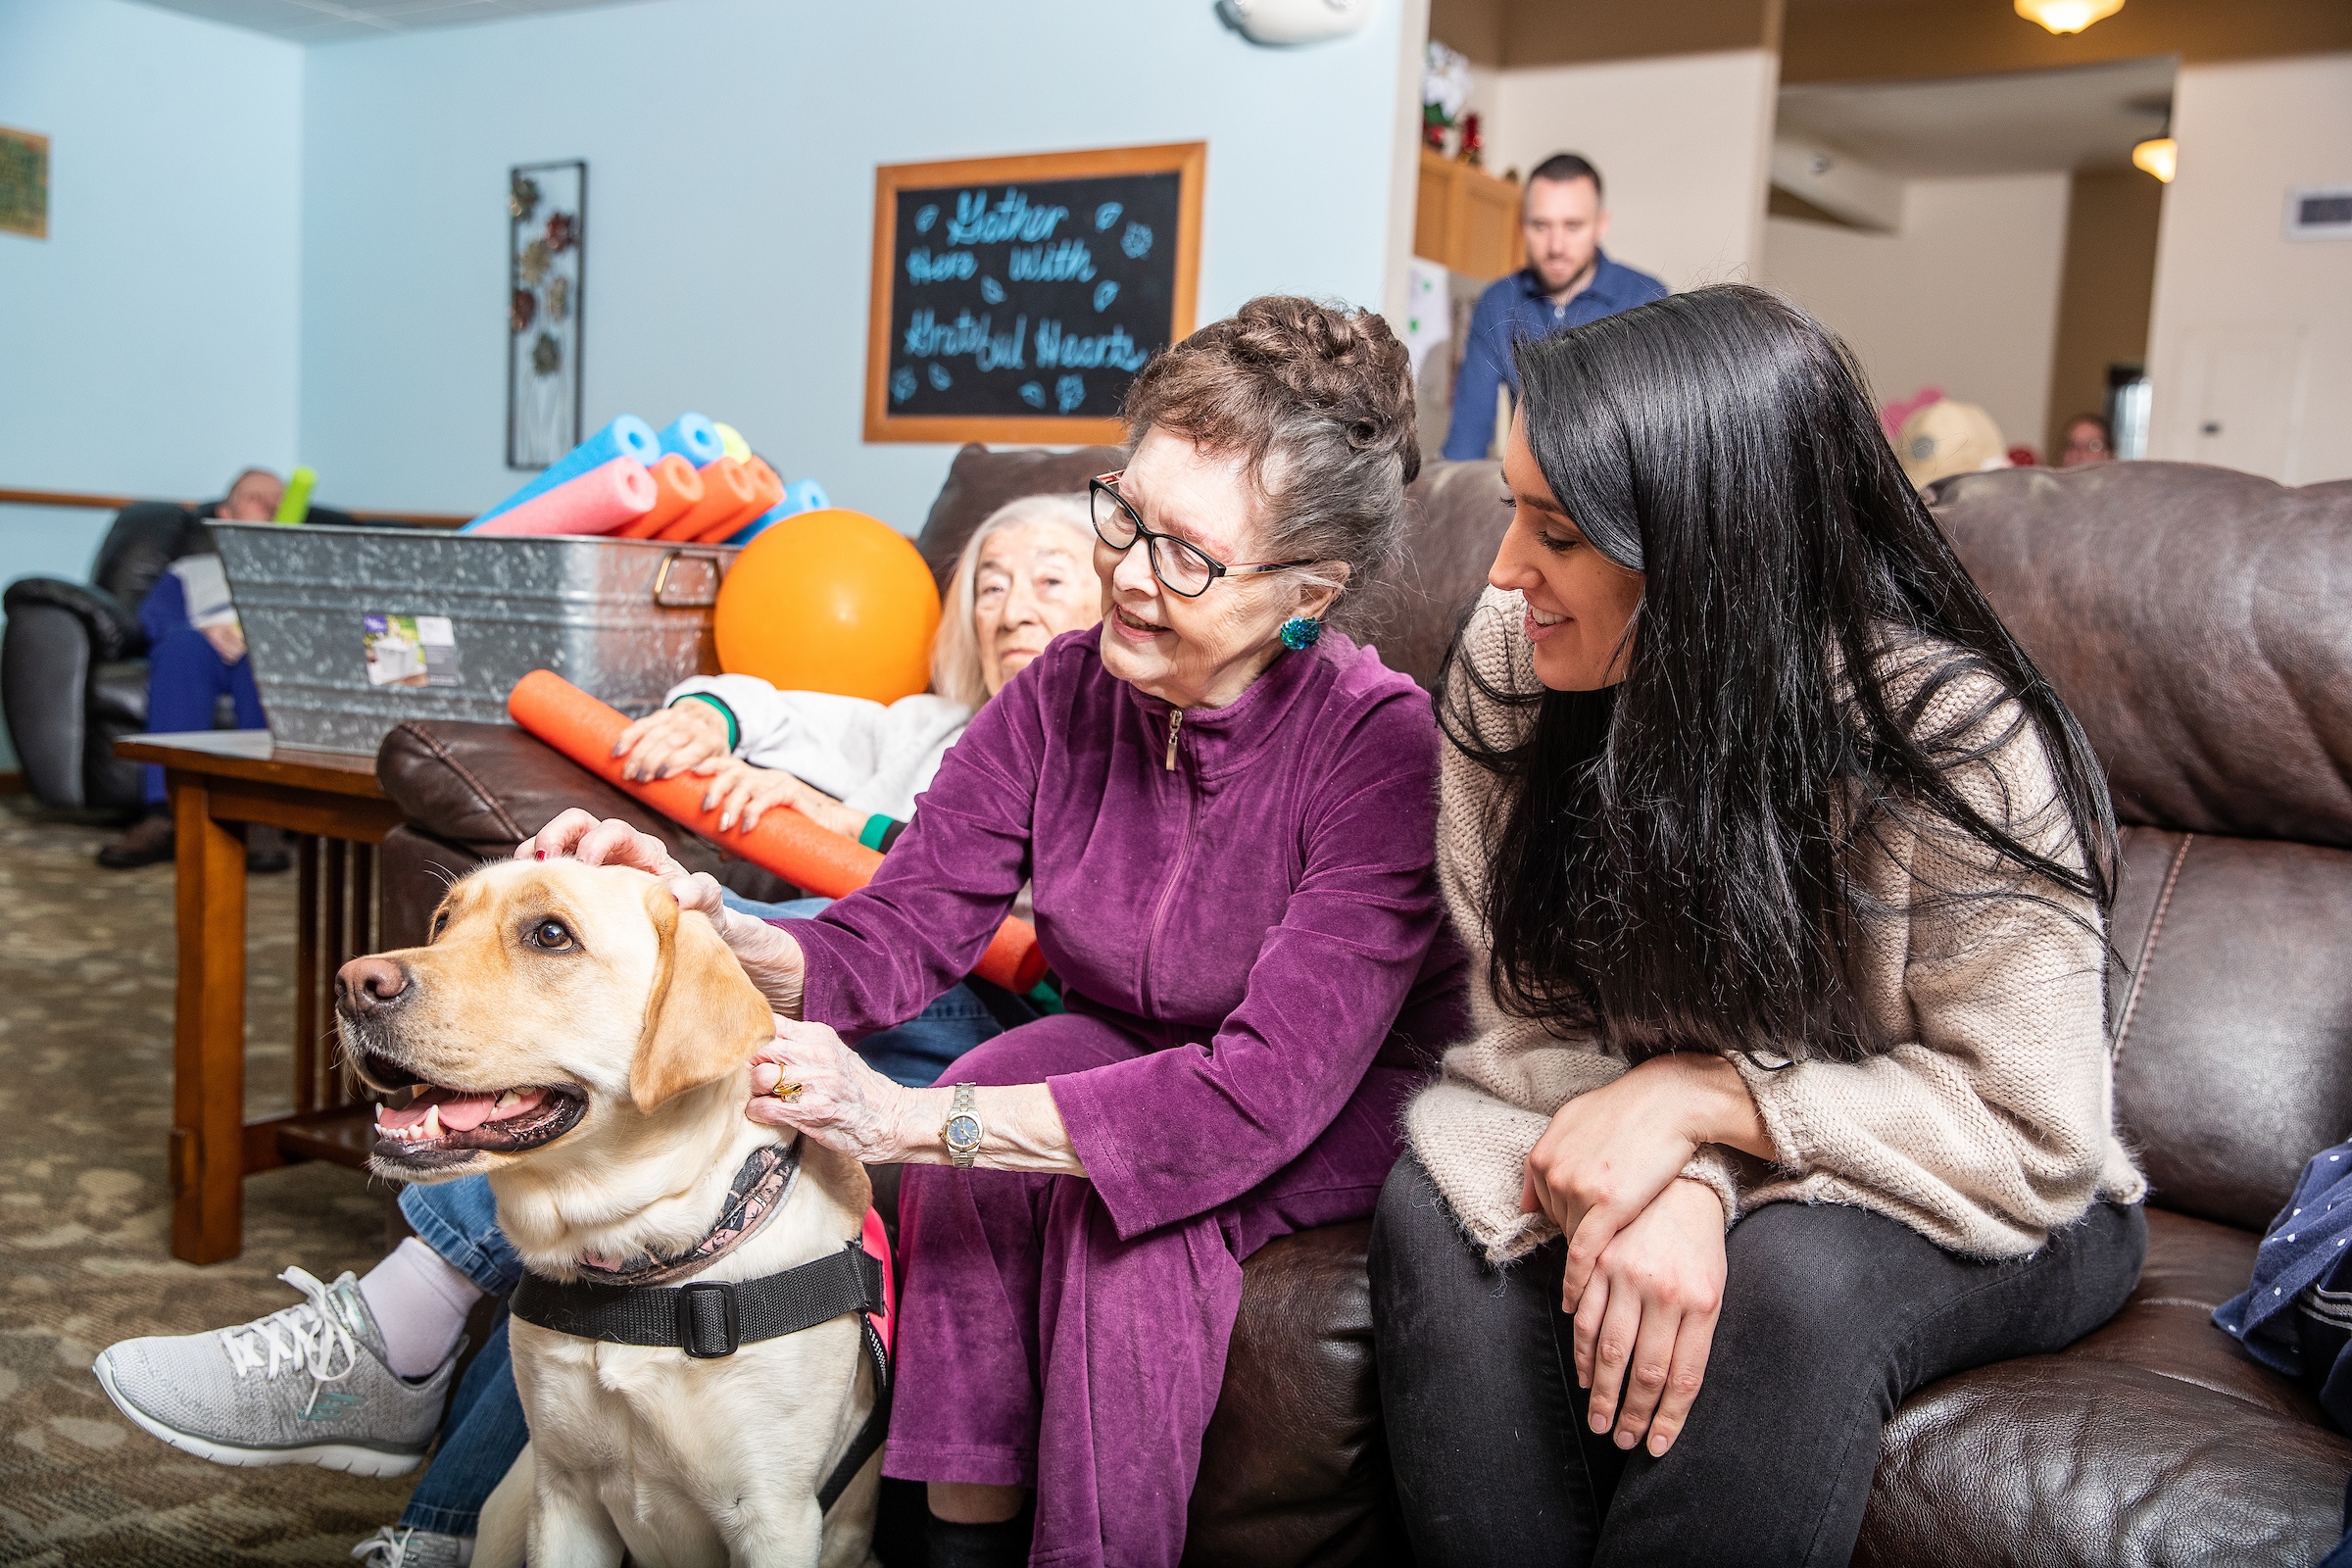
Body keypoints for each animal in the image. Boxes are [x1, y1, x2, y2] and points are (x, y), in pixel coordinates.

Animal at [348, 859, 889, 1568]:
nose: (353, 985)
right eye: (442, 921)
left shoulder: (777, 1518)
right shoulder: (564, 1495)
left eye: (551, 935)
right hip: (508, 1510)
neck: (638, 1259)